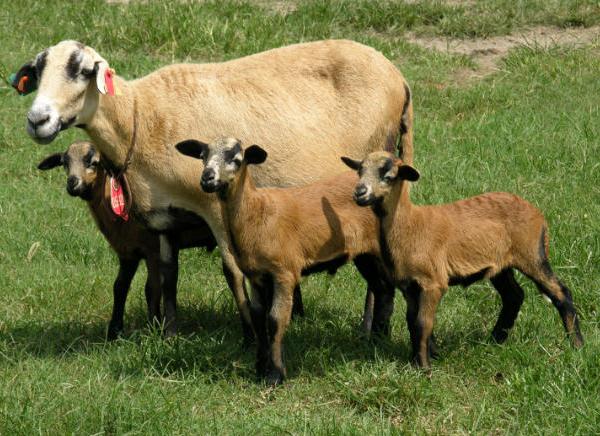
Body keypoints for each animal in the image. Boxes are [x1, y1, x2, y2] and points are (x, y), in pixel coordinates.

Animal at [16, 38, 414, 338]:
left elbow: (232, 272)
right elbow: (168, 275)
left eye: (83, 71)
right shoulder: (165, 216)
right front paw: (169, 334)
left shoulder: (216, 206)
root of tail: (399, 77)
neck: (138, 119)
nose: (37, 120)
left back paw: (369, 329)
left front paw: (250, 333)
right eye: (37, 72)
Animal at [344, 151, 584, 368]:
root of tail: (538, 215)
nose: (360, 192)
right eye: (360, 171)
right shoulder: (409, 286)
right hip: (501, 265)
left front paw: (424, 368)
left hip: (532, 253)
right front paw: (418, 359)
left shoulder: (434, 283)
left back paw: (577, 345)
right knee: (514, 296)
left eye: (389, 175)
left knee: (560, 292)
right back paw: (495, 341)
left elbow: (423, 323)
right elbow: (412, 322)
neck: (410, 225)